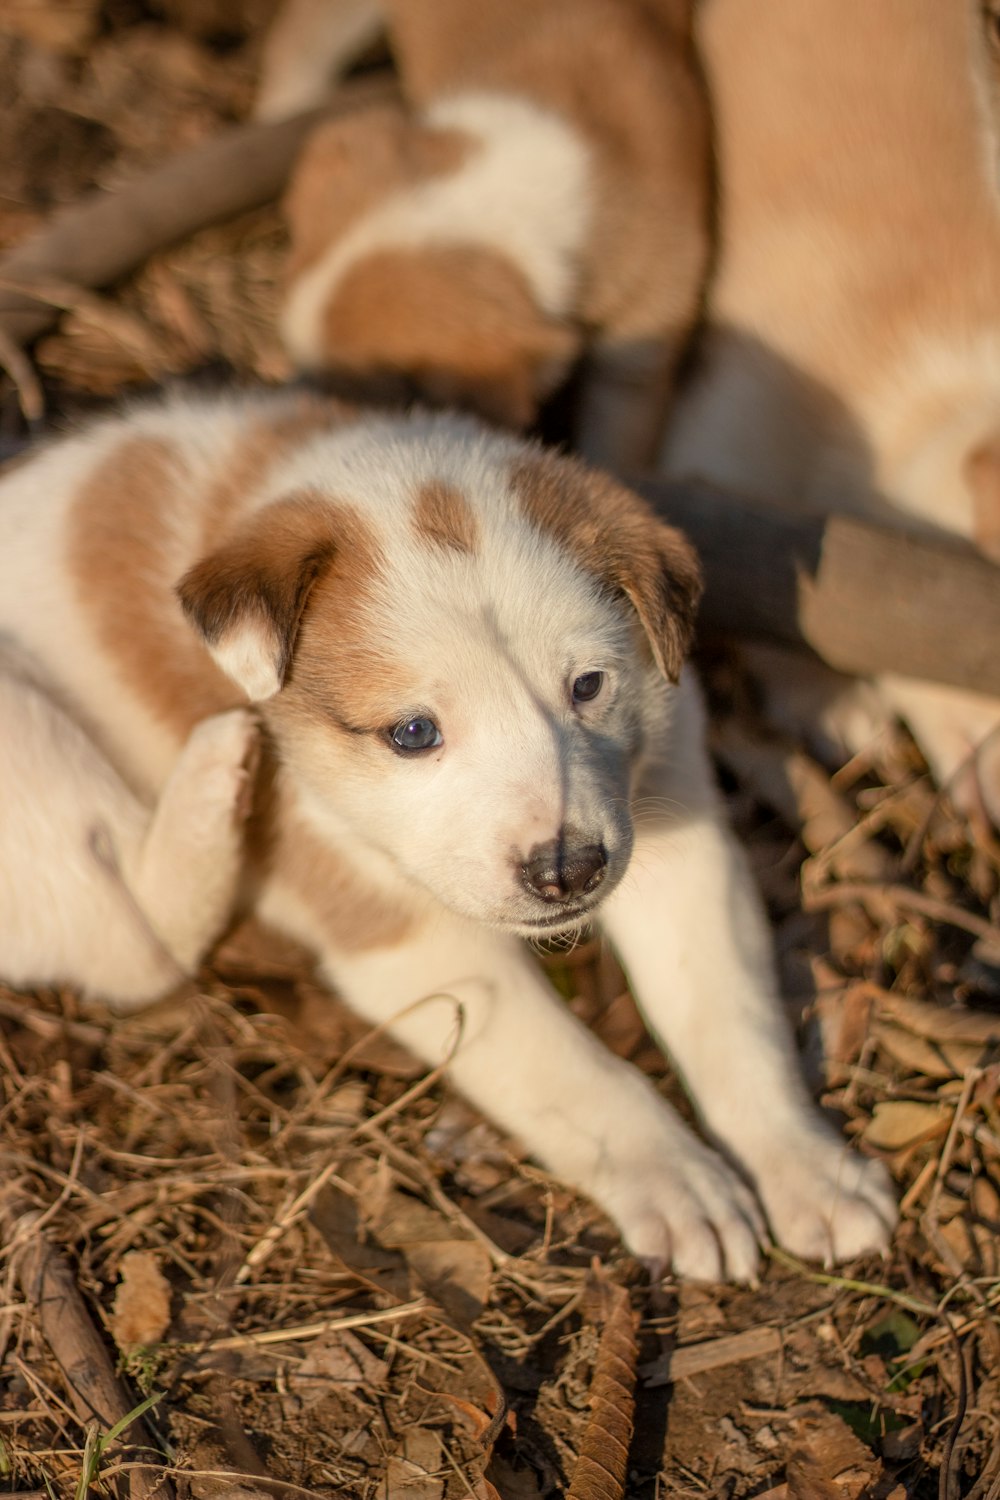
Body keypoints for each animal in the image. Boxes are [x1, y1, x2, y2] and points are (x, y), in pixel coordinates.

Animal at [0, 384, 893, 1278]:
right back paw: (216, 775)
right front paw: (678, 1179)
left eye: (589, 685)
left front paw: (806, 1166)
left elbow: (730, 1017)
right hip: (29, 750)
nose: (567, 872)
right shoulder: (415, 940)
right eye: (413, 733)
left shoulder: (681, 839)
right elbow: (570, 1068)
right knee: (130, 939)